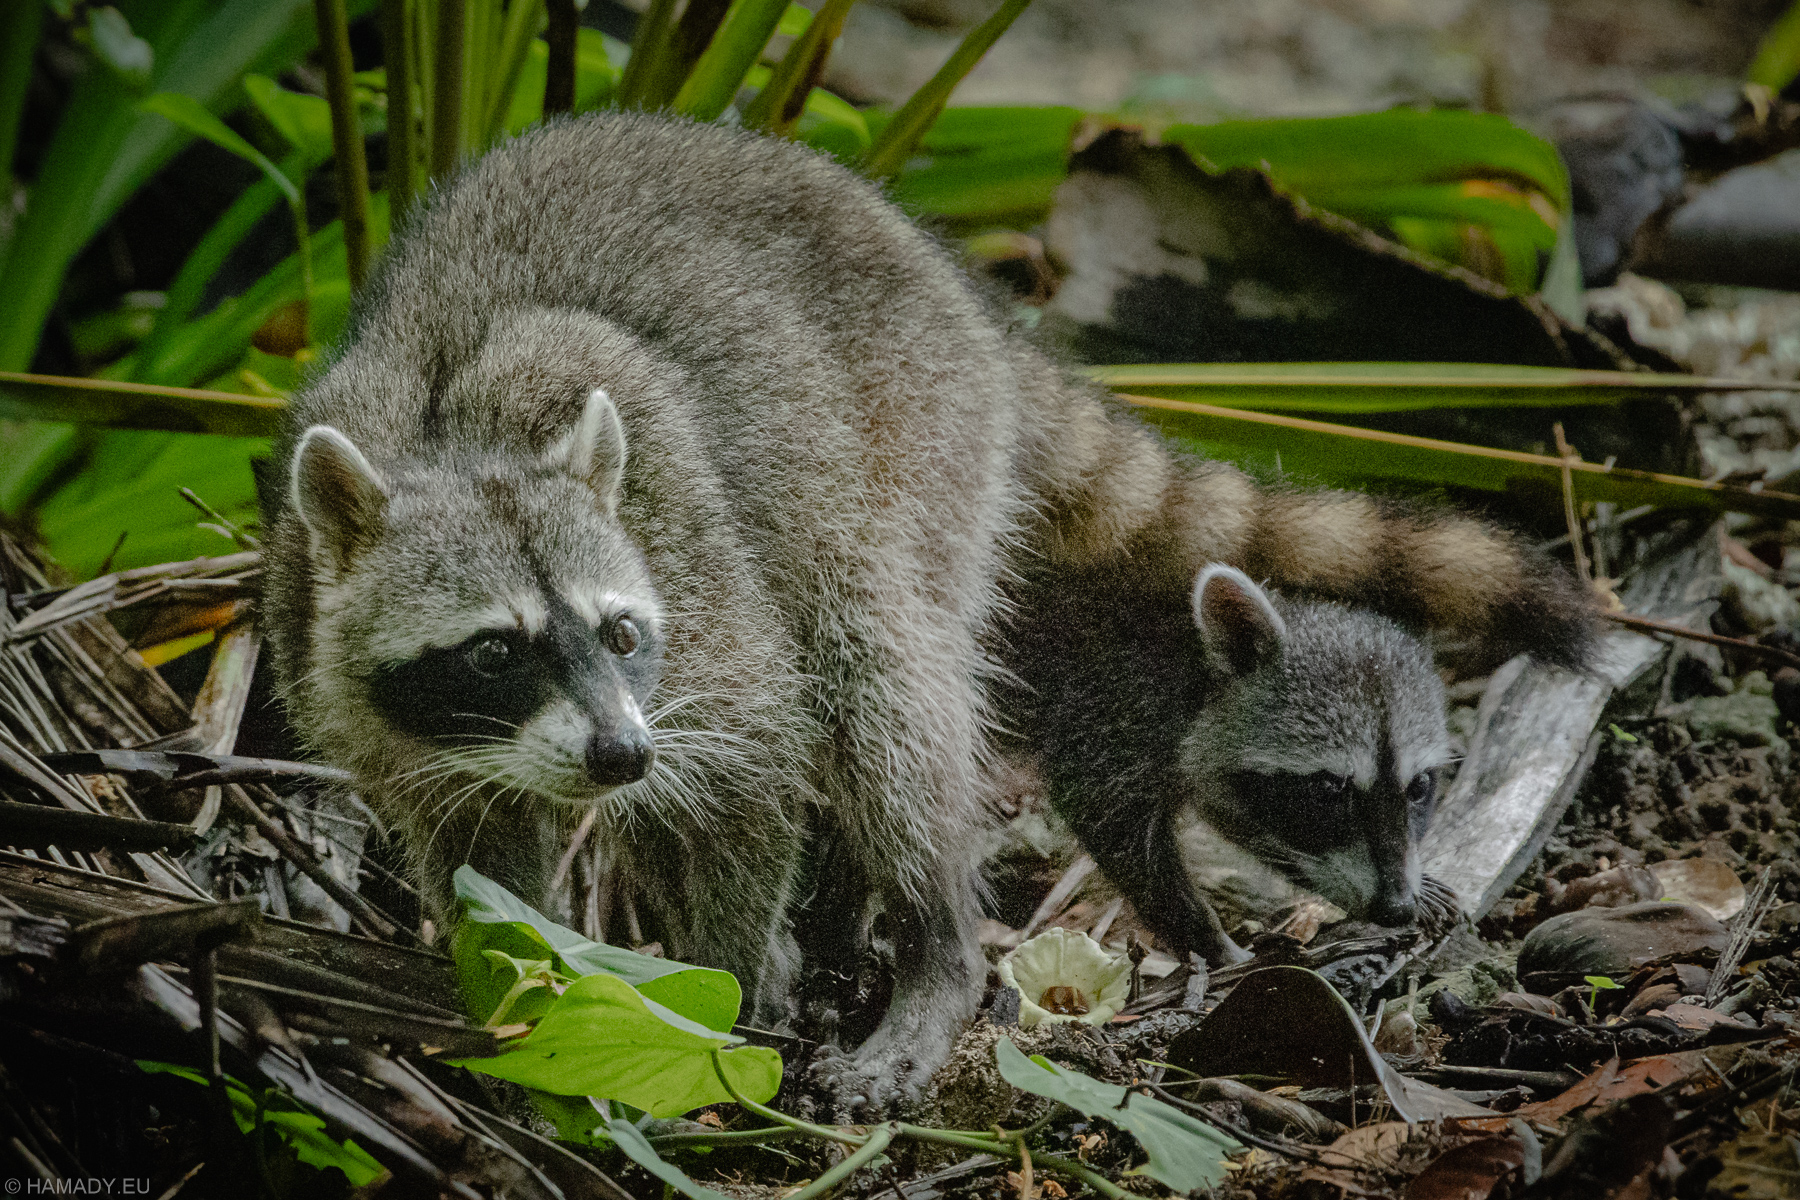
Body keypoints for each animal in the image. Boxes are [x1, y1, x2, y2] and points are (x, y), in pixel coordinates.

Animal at [1008, 564, 1468, 964]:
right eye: (1327, 789)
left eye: (1419, 787)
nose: (1397, 908)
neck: (1193, 668)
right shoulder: (1105, 703)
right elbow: (1111, 820)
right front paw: (1201, 933)